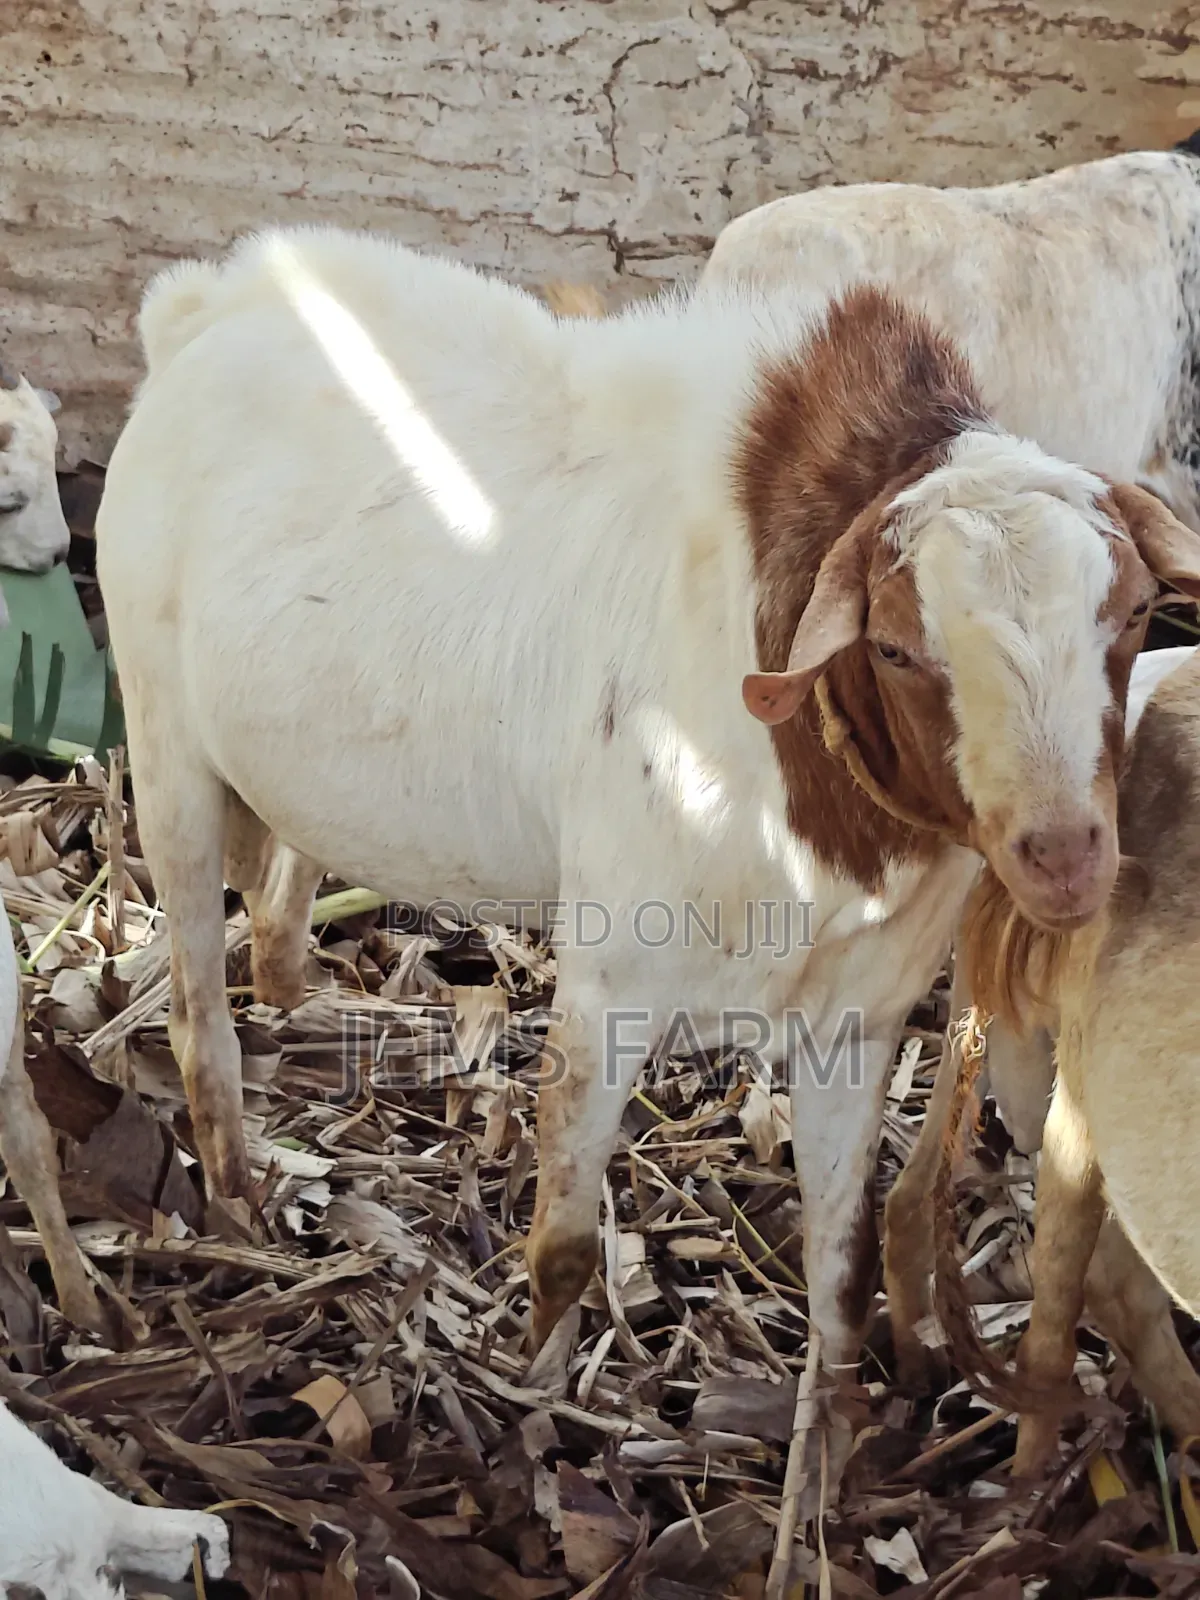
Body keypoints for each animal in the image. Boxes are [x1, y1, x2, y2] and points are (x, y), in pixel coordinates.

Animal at [93, 225, 1200, 1376]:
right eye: (897, 646)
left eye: (1132, 615)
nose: (1065, 855)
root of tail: (212, 301)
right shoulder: (612, 975)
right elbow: (563, 1247)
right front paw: (539, 1382)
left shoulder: (866, 1010)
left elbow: (842, 1274)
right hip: (163, 741)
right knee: (194, 1009)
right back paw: (235, 1191)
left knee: (278, 903)